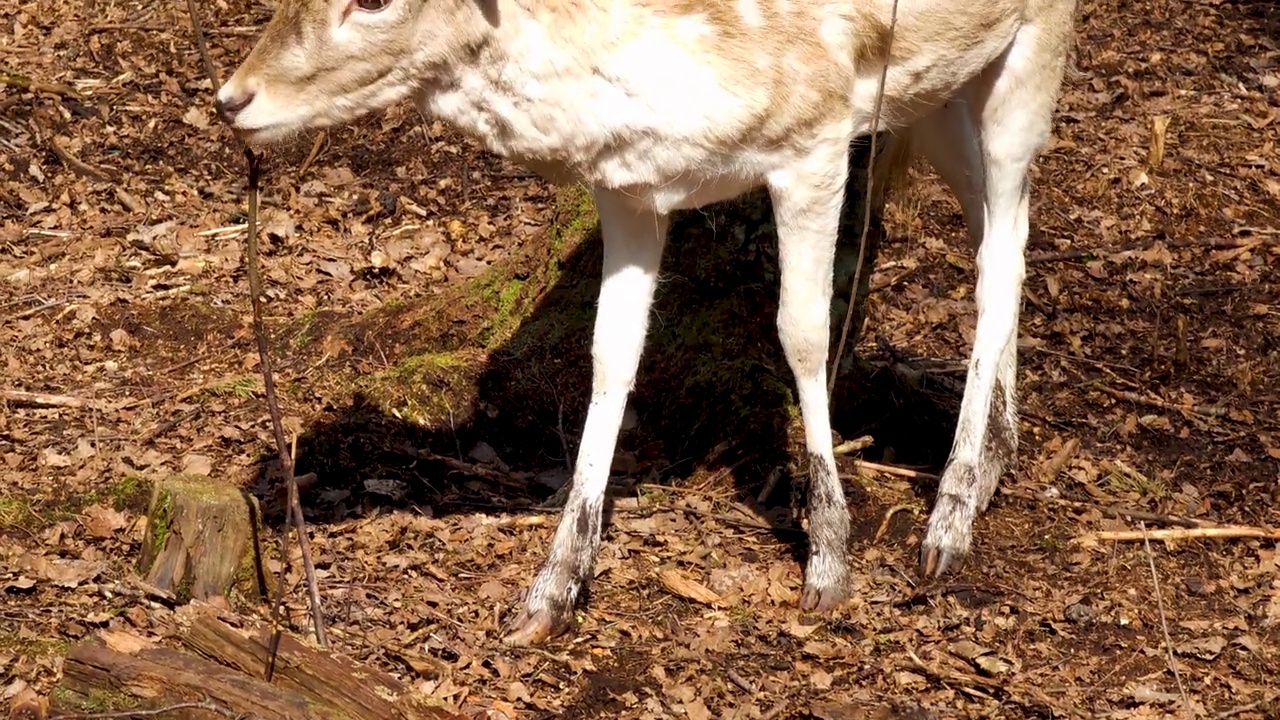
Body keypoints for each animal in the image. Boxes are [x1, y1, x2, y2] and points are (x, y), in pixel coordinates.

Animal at [220, 0, 1080, 645]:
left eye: (372, 0)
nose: (232, 98)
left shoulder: (816, 135)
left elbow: (801, 333)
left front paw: (829, 564)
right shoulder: (629, 191)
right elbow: (610, 357)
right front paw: (551, 592)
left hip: (1034, 43)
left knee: (1001, 254)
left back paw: (950, 517)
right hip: (939, 90)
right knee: (997, 231)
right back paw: (996, 454)